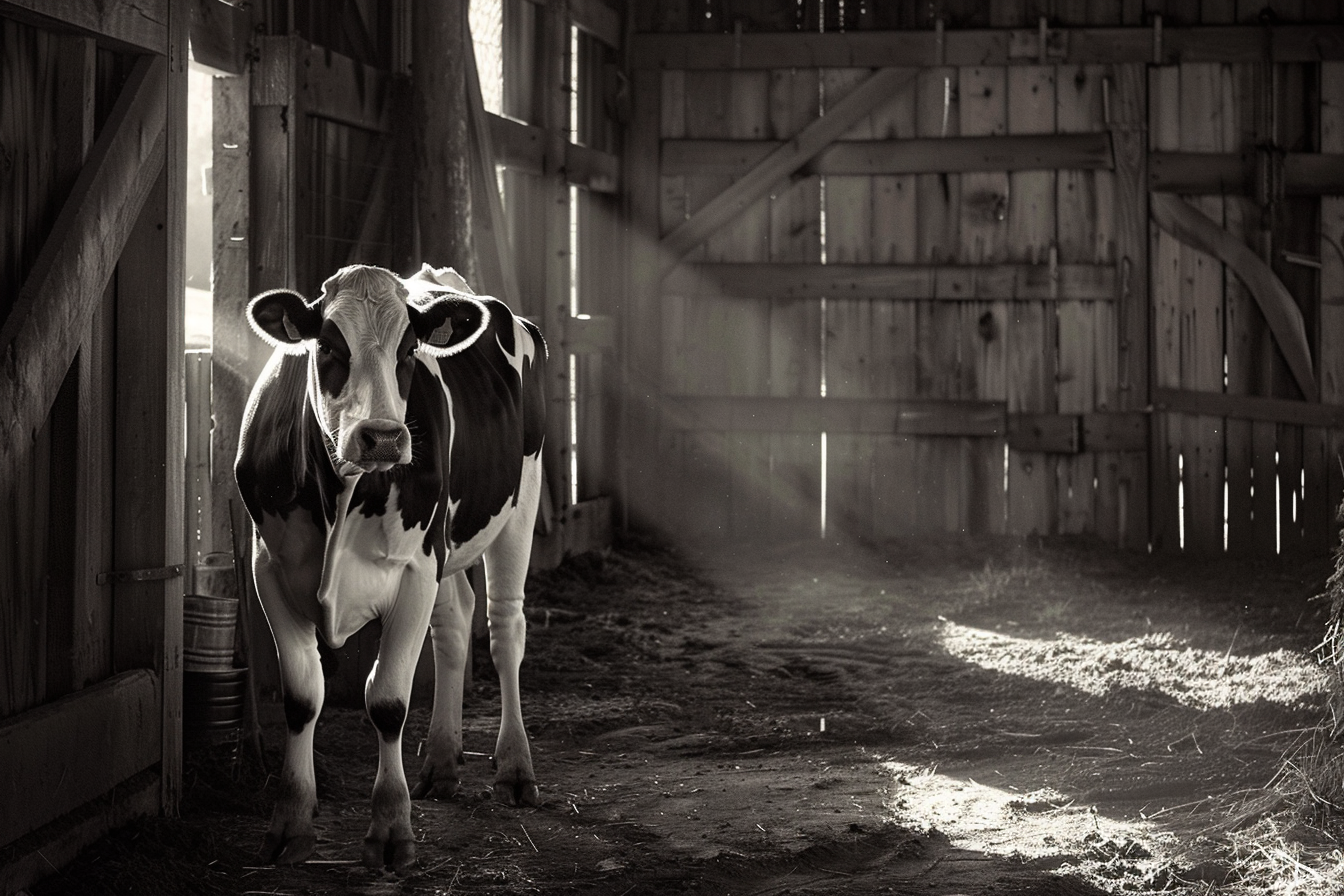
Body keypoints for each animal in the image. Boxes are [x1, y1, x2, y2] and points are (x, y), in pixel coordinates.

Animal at [235, 263, 546, 873]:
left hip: (519, 504)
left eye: (409, 349)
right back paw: (441, 763)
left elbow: (387, 700)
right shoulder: (270, 569)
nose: (382, 437)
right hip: (445, 547)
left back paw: (515, 768)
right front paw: (290, 823)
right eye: (329, 346)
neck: (339, 489)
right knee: (455, 625)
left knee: (504, 630)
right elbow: (302, 697)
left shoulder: (414, 570)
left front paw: (391, 828)